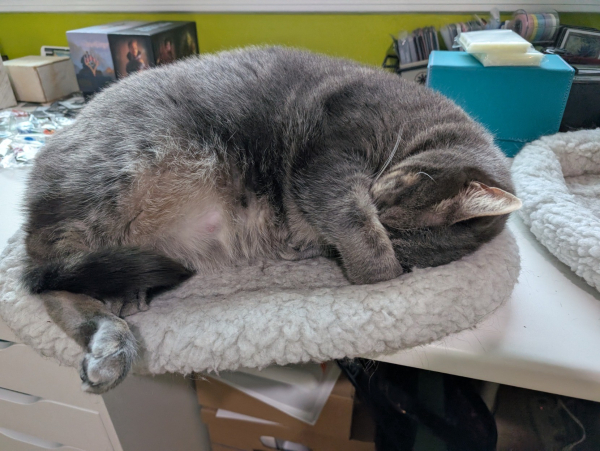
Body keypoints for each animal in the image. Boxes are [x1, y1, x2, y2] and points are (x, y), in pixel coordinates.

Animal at [21, 46, 520, 392]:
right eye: (390, 199)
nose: (377, 197)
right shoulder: (329, 160)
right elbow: (367, 246)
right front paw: (368, 262)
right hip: (116, 176)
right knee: (47, 281)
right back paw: (110, 348)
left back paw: (121, 314)